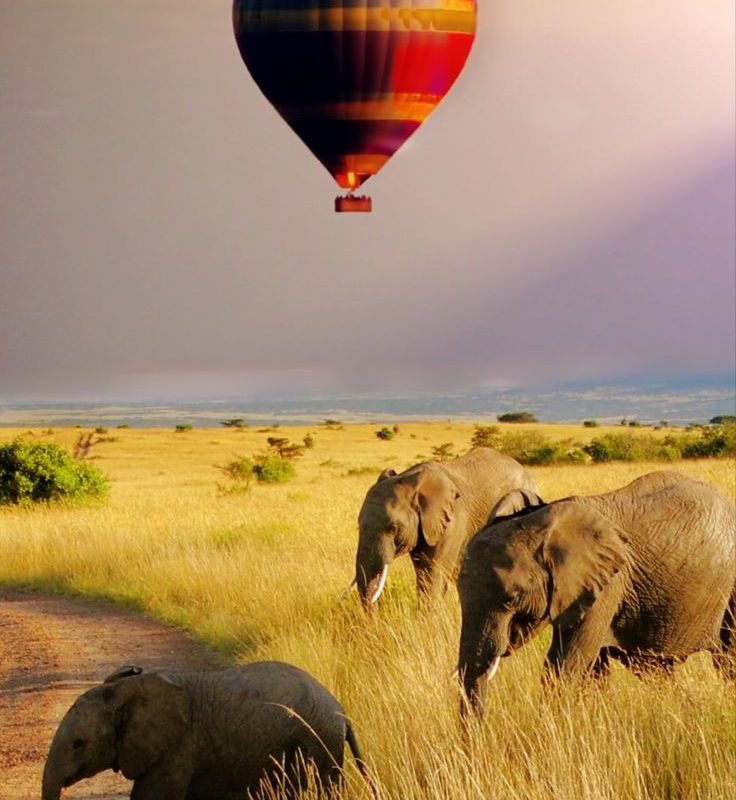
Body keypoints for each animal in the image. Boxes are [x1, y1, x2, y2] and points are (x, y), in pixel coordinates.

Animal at [457, 471, 736, 713]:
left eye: (513, 599)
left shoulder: (607, 586)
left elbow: (564, 666)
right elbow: (593, 671)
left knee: (727, 659)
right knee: (655, 671)